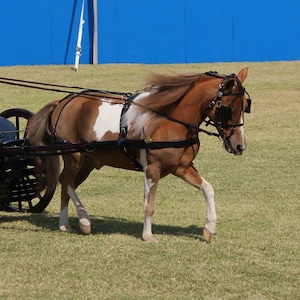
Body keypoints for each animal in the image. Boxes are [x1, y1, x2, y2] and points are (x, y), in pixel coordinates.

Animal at [27, 67, 251, 241]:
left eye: (245, 107)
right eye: (229, 109)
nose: (240, 145)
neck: (169, 120)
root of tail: (63, 102)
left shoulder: (182, 167)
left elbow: (208, 189)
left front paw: (210, 229)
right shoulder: (152, 169)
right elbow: (148, 204)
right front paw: (148, 235)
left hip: (88, 161)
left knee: (68, 184)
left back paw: (66, 224)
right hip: (74, 156)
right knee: (65, 181)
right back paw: (82, 219)